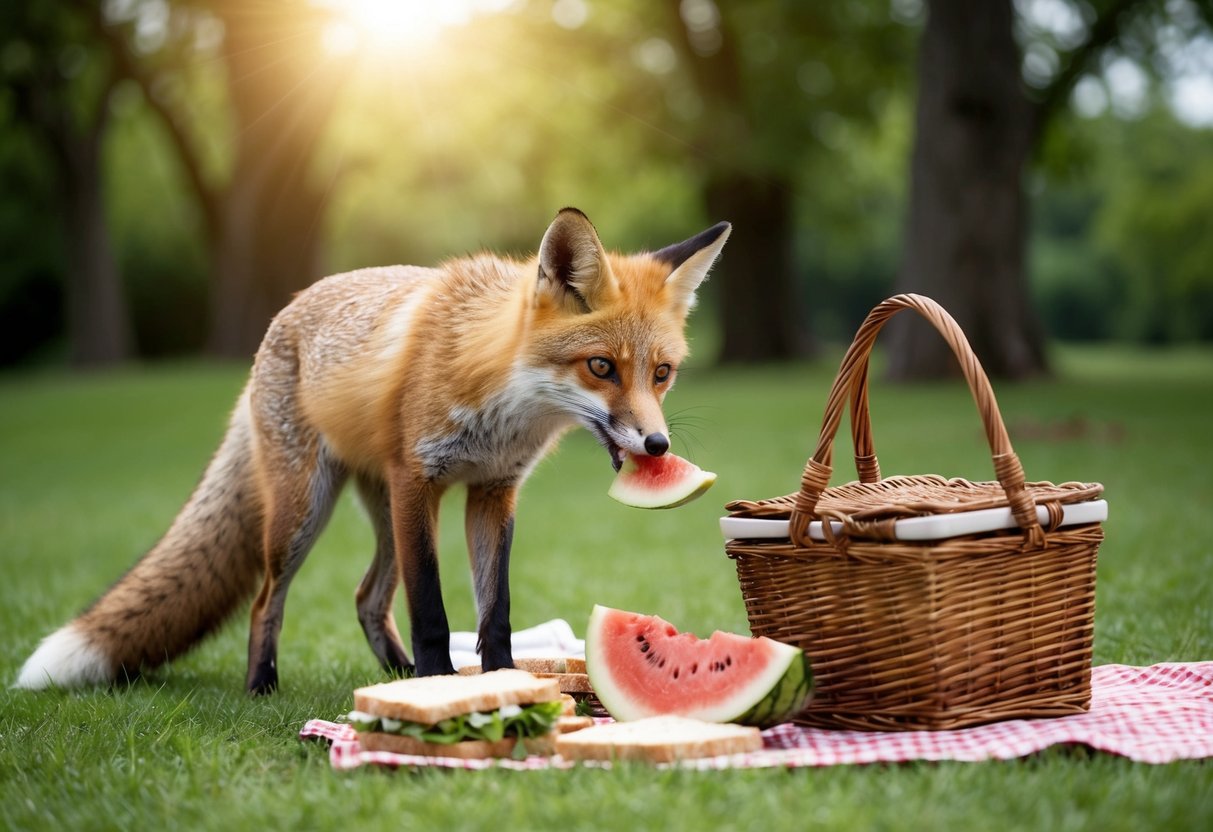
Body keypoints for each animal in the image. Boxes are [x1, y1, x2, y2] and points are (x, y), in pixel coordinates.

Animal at [16, 208, 730, 694]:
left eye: (662, 373)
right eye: (601, 367)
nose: (658, 443)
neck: (502, 403)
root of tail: (285, 313)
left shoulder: (492, 492)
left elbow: (494, 612)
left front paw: (499, 682)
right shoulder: (421, 480)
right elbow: (434, 611)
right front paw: (441, 684)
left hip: (382, 513)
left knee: (366, 597)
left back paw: (396, 674)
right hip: (308, 512)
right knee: (266, 600)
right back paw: (264, 686)